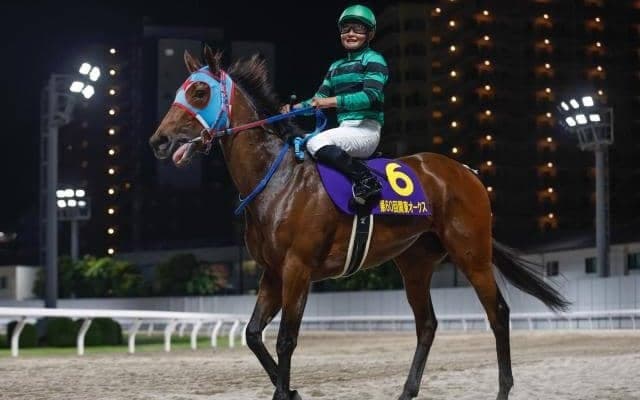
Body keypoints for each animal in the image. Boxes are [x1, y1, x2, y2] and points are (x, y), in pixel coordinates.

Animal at [149, 46, 569, 400]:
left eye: (199, 91)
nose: (159, 141)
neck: (278, 180)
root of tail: (467, 172)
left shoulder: (298, 269)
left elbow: (286, 340)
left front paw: (286, 392)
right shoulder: (272, 271)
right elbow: (253, 335)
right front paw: (291, 391)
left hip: (471, 253)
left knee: (498, 313)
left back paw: (503, 389)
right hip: (415, 263)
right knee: (427, 324)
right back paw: (407, 392)